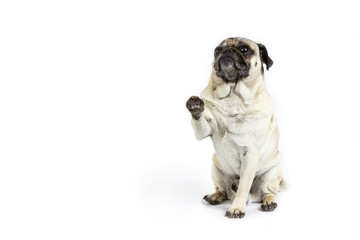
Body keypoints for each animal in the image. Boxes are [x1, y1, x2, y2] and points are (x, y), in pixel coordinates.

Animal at [186, 36, 284, 218]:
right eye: (217, 50)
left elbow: (244, 188)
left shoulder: (250, 154)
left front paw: (237, 208)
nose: (227, 51)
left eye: (244, 49)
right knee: (223, 190)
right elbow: (200, 119)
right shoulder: (204, 130)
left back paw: (268, 202)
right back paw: (215, 196)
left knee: (268, 191)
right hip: (216, 169)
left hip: (271, 175)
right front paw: (195, 107)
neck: (233, 94)